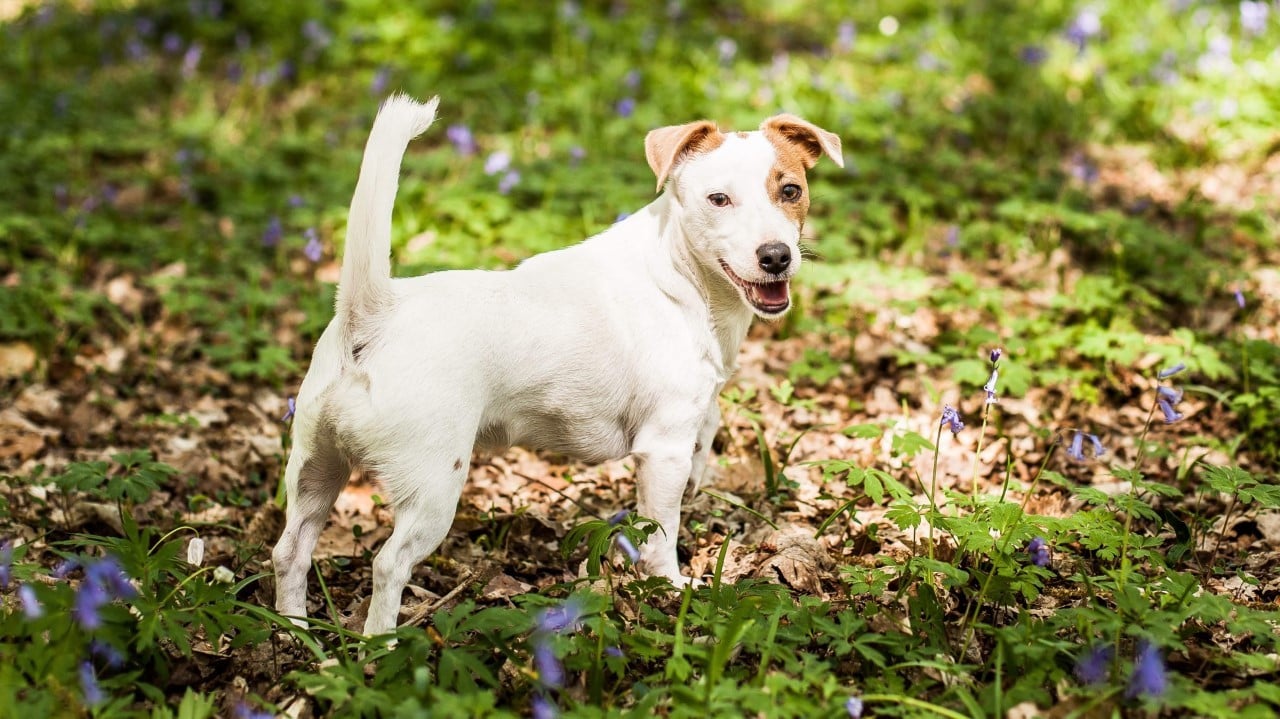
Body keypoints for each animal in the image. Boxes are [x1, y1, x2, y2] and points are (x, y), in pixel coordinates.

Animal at [270, 94, 839, 632]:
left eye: (790, 191)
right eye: (718, 199)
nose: (776, 256)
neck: (680, 272)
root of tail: (373, 313)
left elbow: (708, 430)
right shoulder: (661, 451)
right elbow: (661, 533)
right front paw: (671, 591)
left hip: (314, 468)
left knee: (289, 551)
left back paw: (296, 632)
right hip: (432, 488)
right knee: (388, 566)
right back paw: (378, 645)